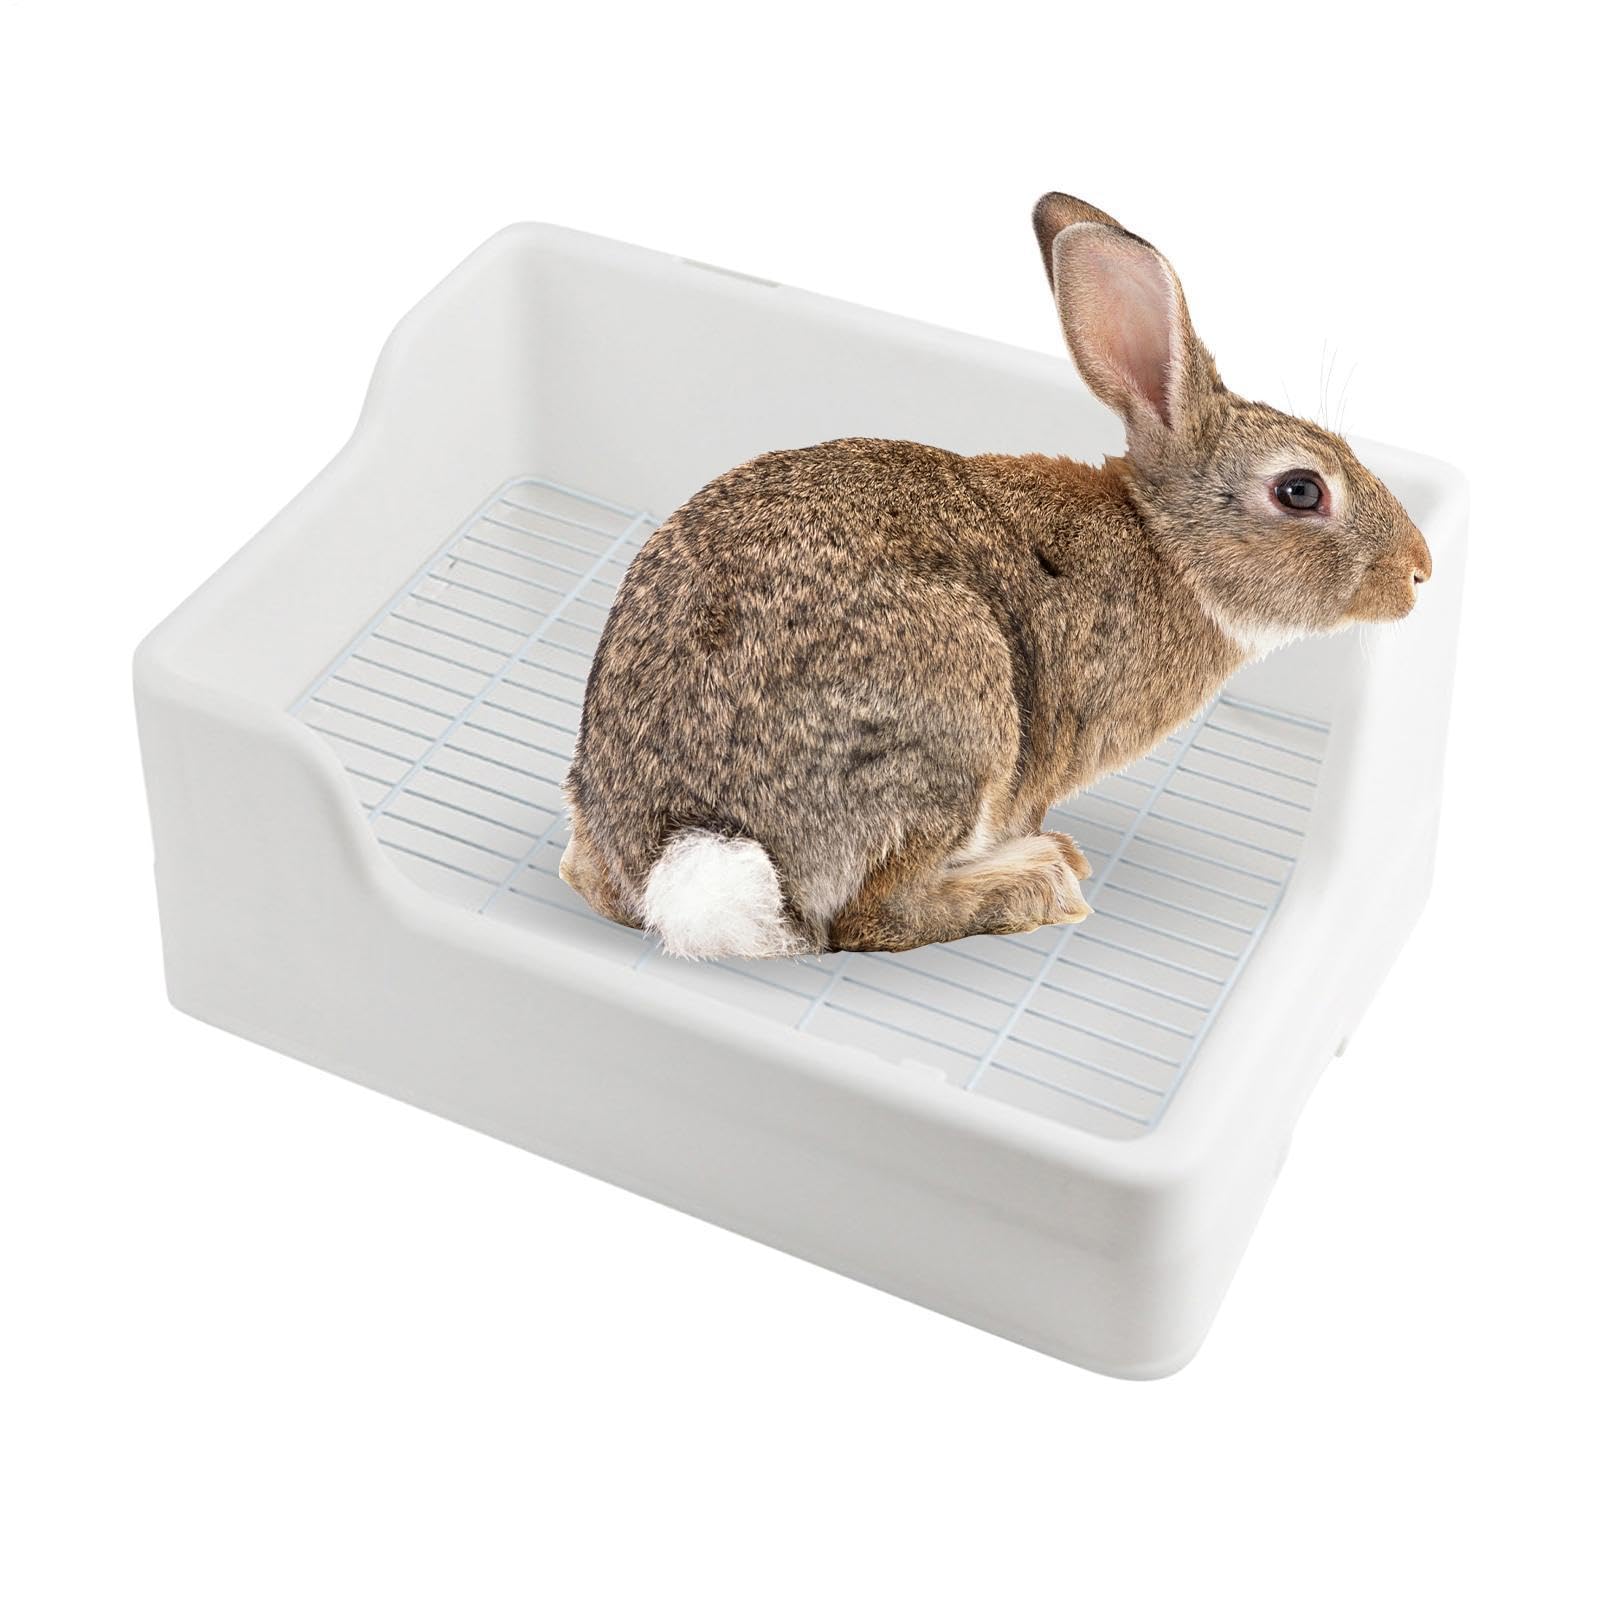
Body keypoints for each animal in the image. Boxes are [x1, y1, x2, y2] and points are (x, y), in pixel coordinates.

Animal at [560, 193, 1432, 959]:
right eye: (1300, 490)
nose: (1418, 570)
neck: (1164, 544)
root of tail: (690, 851)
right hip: (956, 716)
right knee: (872, 917)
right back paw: (1038, 879)